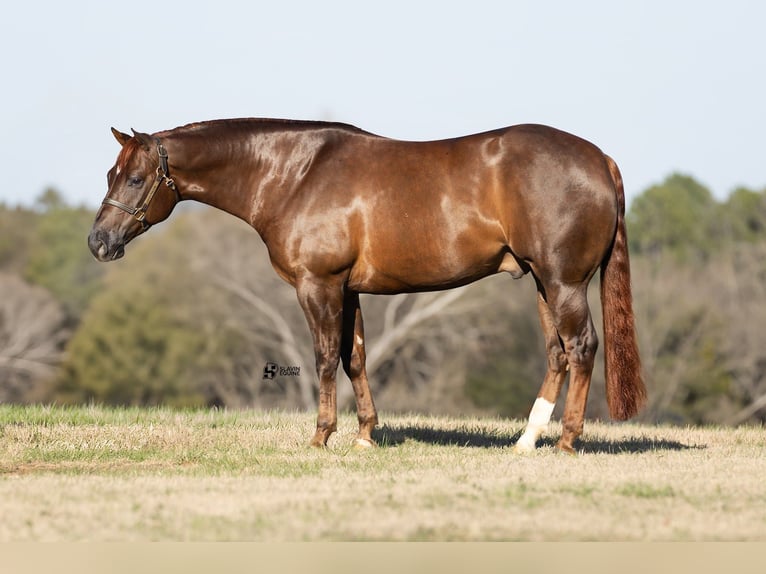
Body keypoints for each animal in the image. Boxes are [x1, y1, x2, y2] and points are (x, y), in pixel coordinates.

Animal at [88, 118, 645, 453]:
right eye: (111, 173)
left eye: (134, 179)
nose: (98, 242)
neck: (295, 173)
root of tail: (600, 159)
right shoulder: (348, 289)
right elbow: (354, 357)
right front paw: (364, 436)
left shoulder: (317, 285)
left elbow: (323, 358)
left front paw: (321, 437)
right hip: (543, 283)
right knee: (557, 353)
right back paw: (526, 440)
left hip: (564, 281)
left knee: (581, 347)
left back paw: (567, 442)